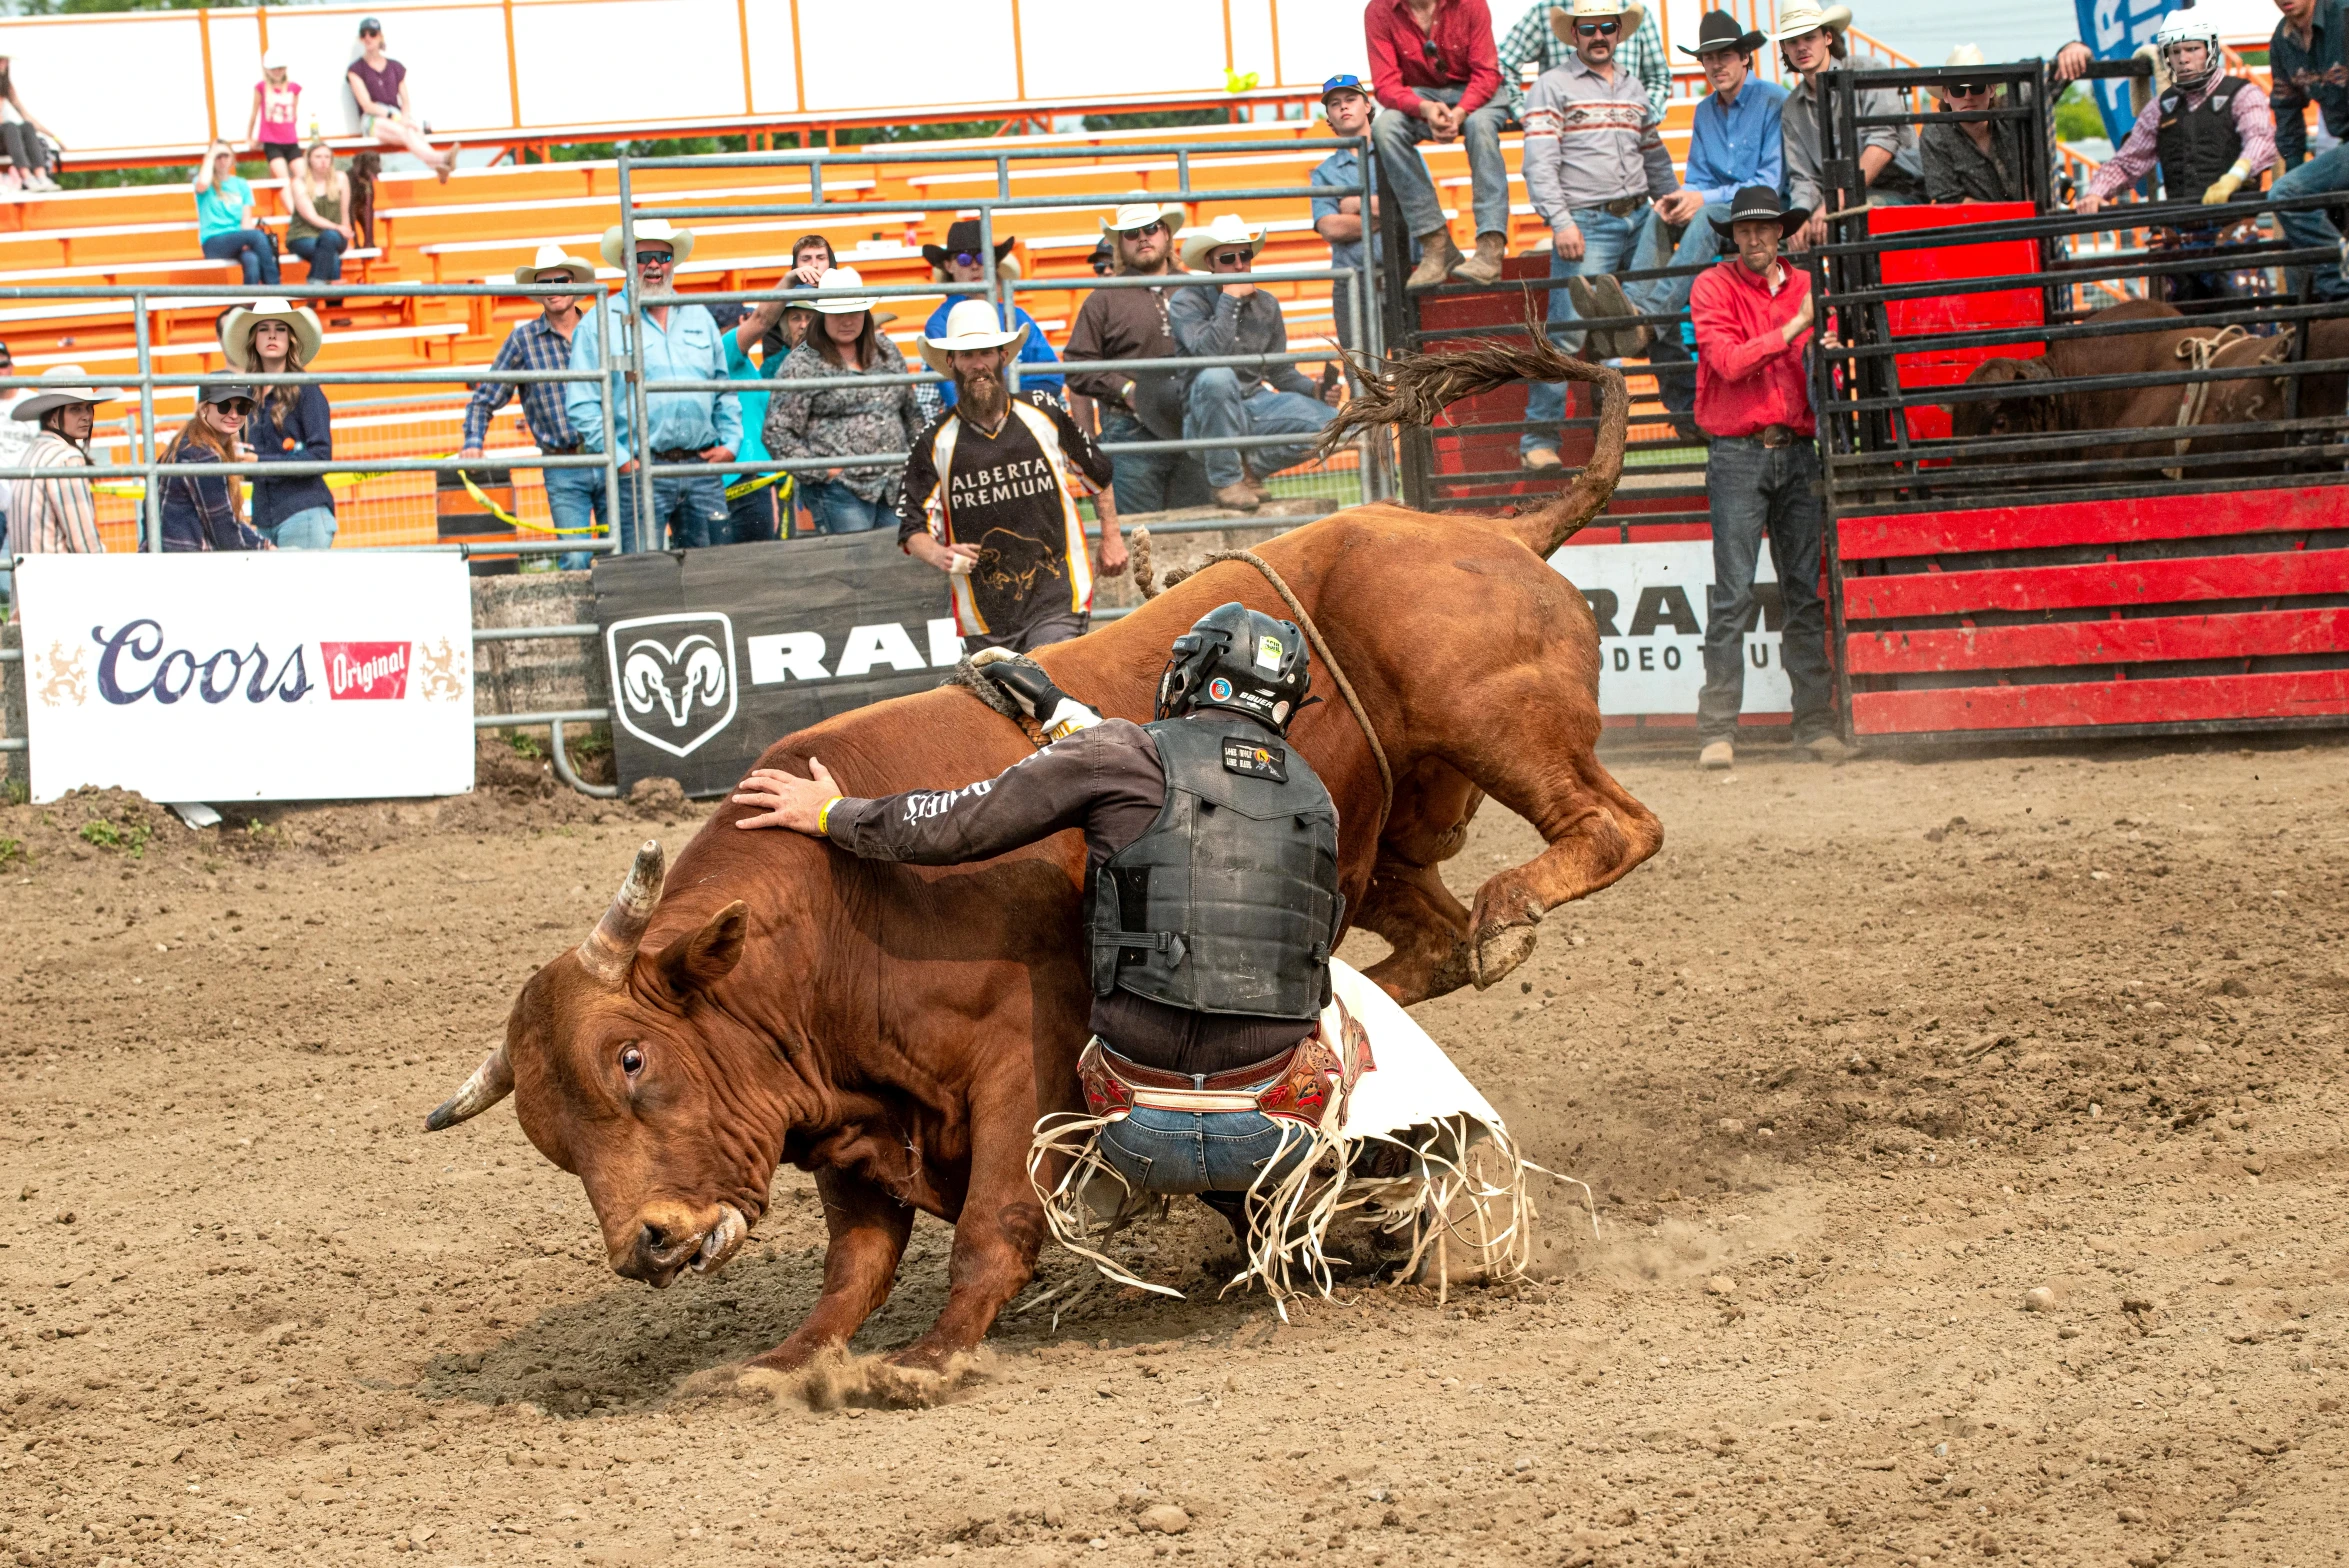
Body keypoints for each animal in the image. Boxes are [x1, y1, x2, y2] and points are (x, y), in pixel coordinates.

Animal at [427, 333, 1672, 1370]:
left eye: (633, 1058)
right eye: (550, 1134)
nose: (647, 1240)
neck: (837, 907)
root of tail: (1494, 531)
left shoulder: (1016, 1056)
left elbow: (992, 1219)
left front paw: (930, 1356)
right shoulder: (848, 1126)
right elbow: (855, 1263)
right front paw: (788, 1361)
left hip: (1487, 713)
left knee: (1613, 829)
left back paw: (1508, 914)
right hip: (1393, 838)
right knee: (1436, 939)